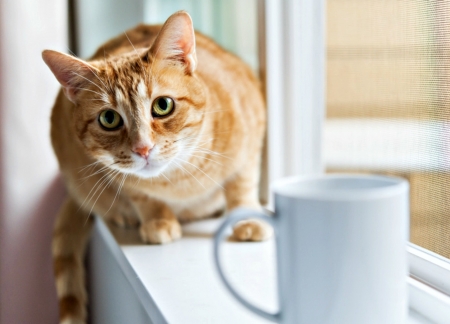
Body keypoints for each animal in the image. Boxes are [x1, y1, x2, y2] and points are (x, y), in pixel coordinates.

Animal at [42, 10, 268, 324]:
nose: (143, 148)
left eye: (163, 105)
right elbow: (143, 197)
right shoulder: (120, 178)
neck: (177, 179)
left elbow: (242, 184)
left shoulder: (251, 133)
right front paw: (157, 220)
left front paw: (247, 218)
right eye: (109, 119)